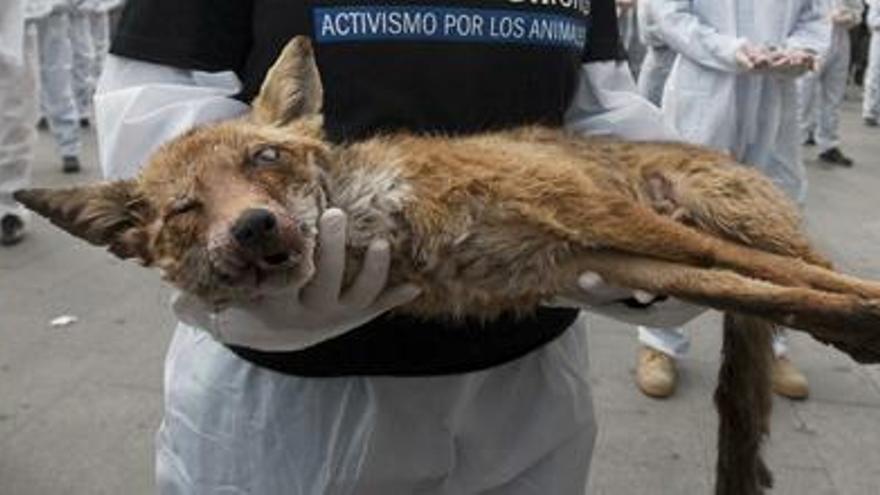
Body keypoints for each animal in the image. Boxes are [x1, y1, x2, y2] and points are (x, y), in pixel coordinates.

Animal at [14, 37, 880, 494]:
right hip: (641, 250)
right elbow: (759, 289)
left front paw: (864, 304)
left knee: (798, 259)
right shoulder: (595, 256)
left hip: (717, 211)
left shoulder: (601, 219)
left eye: (264, 158)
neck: (394, 211)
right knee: (766, 286)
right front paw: (855, 324)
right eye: (187, 210)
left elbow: (781, 277)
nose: (254, 227)